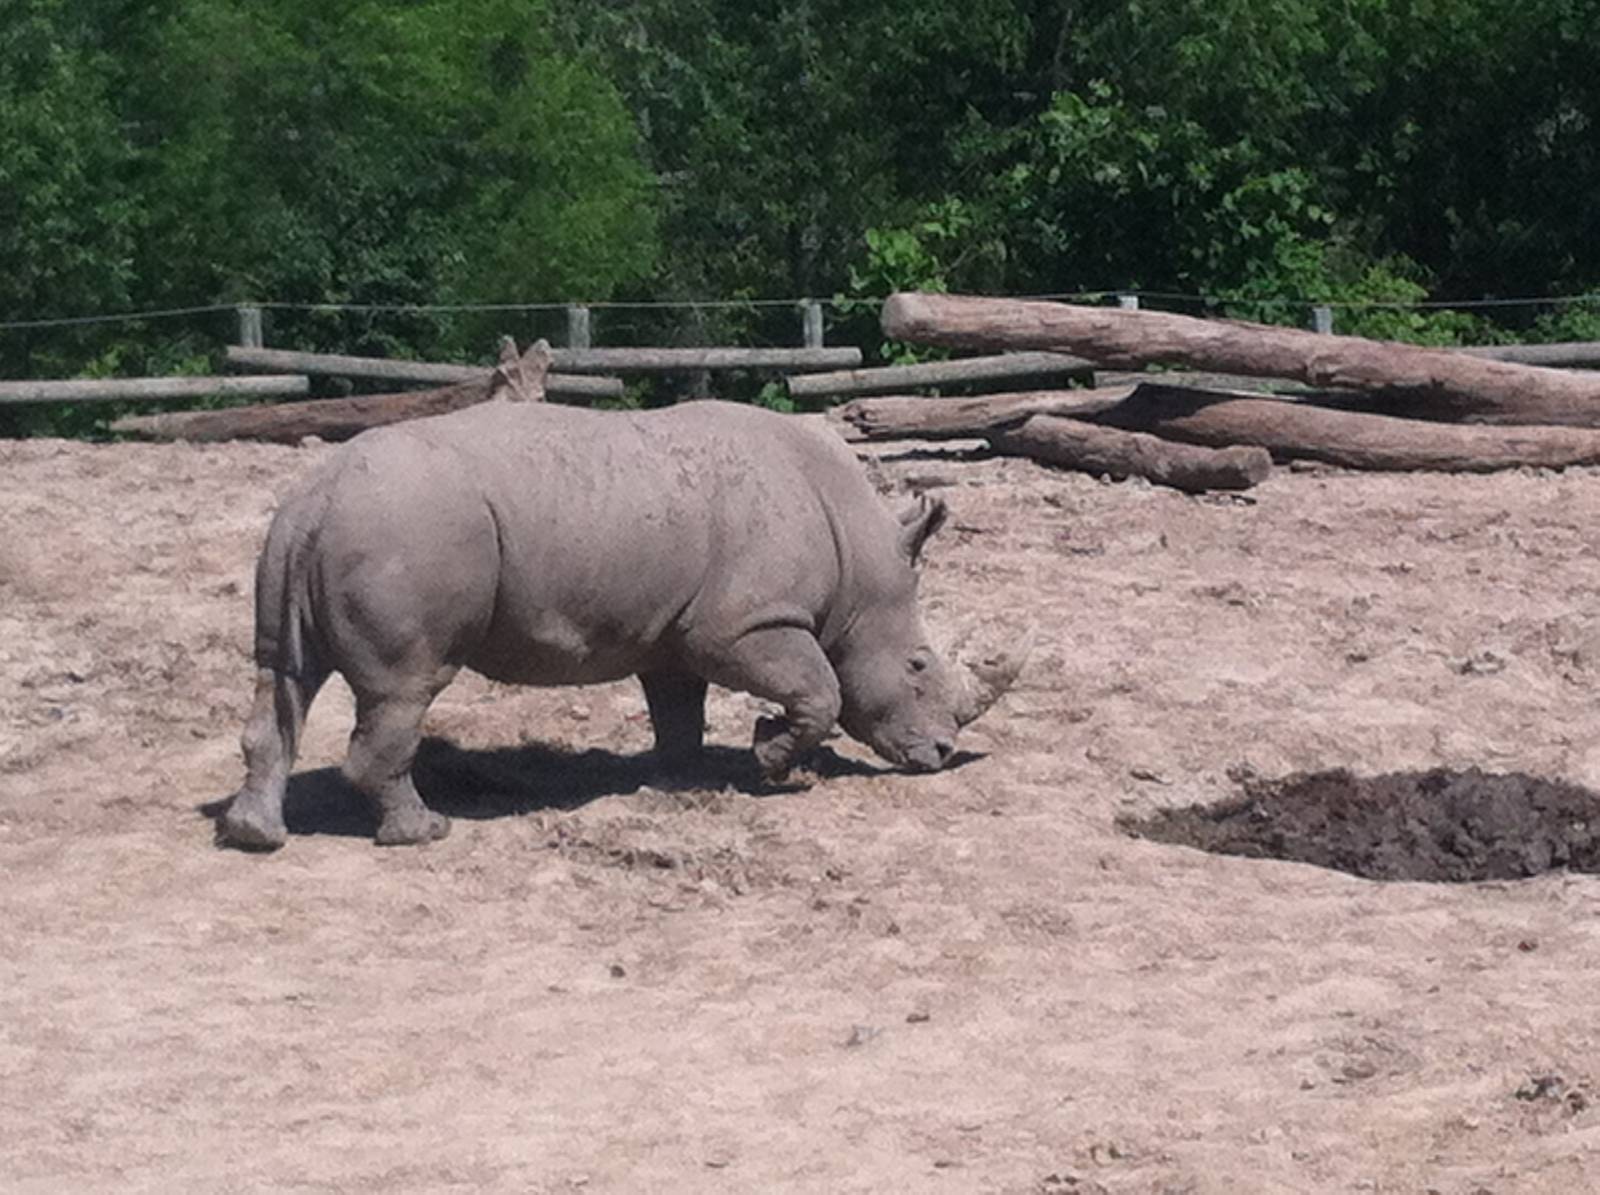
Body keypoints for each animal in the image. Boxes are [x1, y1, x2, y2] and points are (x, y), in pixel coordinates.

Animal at [219, 398, 1025, 850]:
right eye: (918, 665)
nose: (941, 754)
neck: (858, 557)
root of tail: (314, 497)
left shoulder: (678, 632)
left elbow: (678, 708)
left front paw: (682, 779)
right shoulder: (742, 624)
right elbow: (820, 690)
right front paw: (769, 759)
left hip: (315, 533)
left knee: (283, 676)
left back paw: (254, 836)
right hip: (403, 531)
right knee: (404, 688)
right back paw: (425, 833)